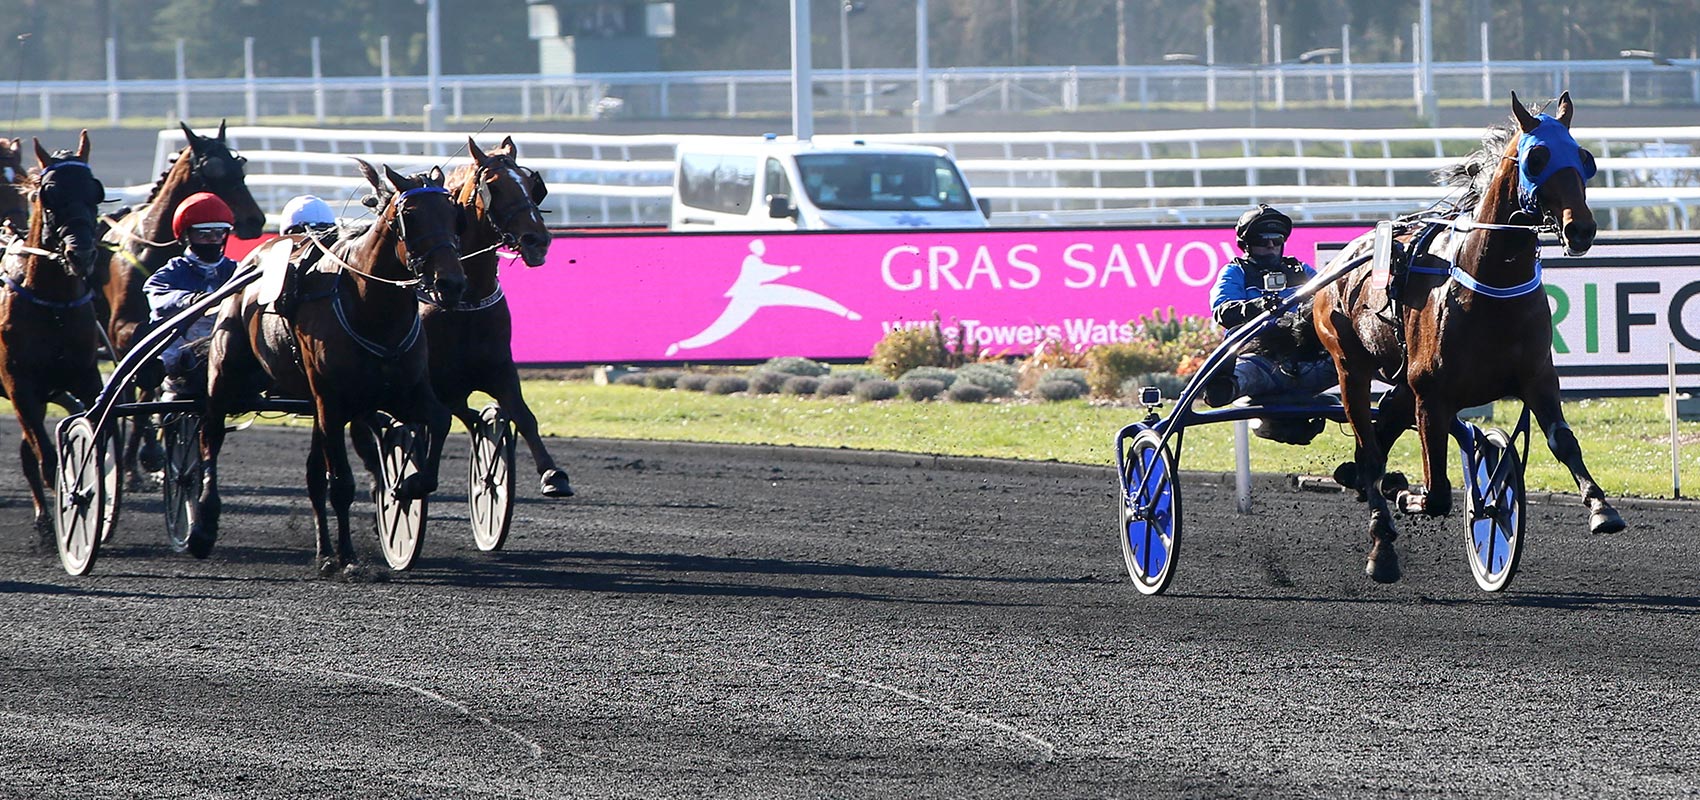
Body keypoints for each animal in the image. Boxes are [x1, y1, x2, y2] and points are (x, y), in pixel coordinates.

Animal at [0, 133, 107, 540]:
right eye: (49, 194)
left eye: (94, 190)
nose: (81, 253)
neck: (54, 306)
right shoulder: (19, 384)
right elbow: (46, 460)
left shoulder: (85, 377)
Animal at [196, 159, 465, 574]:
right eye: (410, 214)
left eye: (455, 214)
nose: (450, 283)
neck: (372, 308)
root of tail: (255, 258)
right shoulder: (332, 401)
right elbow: (340, 483)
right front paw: (349, 558)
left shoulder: (403, 392)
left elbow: (439, 420)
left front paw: (407, 486)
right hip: (226, 375)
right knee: (210, 434)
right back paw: (204, 525)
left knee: (312, 474)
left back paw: (323, 551)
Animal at [431, 138, 571, 502]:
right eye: (493, 186)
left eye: (531, 185)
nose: (537, 240)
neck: (464, 299)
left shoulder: (499, 367)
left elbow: (522, 415)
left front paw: (552, 474)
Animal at [1305, 92, 1625, 580]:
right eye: (1537, 157)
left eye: (1584, 158)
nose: (1581, 229)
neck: (1488, 284)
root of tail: (1340, 260)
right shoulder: (1432, 395)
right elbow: (1436, 493)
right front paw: (1410, 496)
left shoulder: (1537, 377)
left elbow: (1563, 441)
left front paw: (1600, 507)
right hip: (1349, 369)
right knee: (1371, 451)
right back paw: (1382, 544)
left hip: (1401, 383)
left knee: (1379, 435)